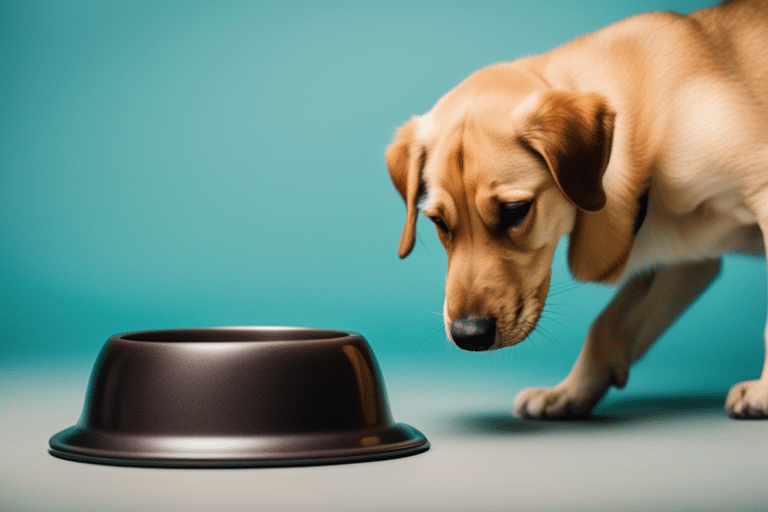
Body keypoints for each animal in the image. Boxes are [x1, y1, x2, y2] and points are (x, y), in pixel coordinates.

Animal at [384, 0, 768, 418]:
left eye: (516, 210)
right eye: (438, 221)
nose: (469, 336)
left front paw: (764, 391)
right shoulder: (689, 261)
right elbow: (606, 326)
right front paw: (568, 393)